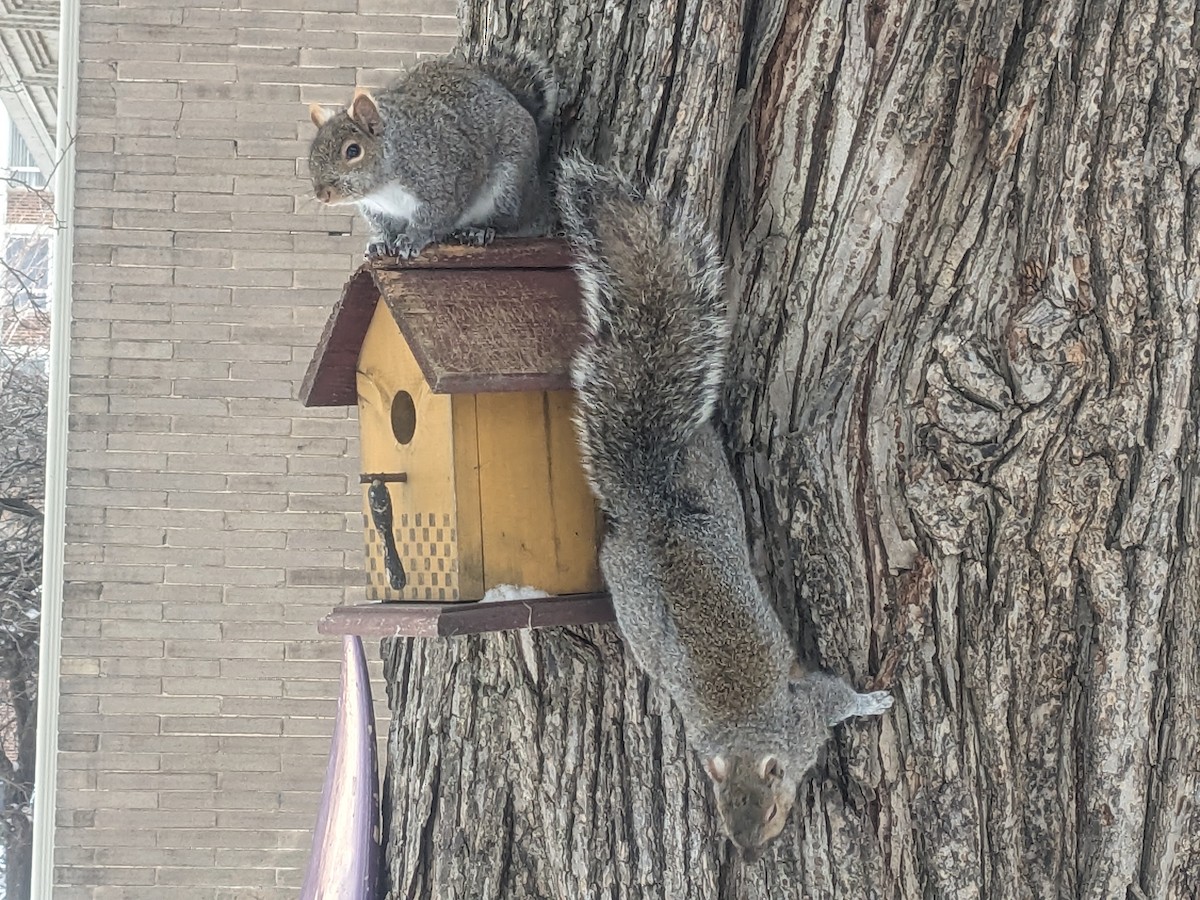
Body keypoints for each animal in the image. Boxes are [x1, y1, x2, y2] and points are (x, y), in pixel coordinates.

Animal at [307, 47, 557, 259]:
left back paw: (480, 230)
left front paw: (412, 240)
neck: (383, 189)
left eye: (353, 150)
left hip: (509, 186)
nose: (322, 195)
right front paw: (380, 242)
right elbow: (385, 228)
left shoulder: (446, 181)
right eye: (312, 153)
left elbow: (434, 219)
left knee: (512, 222)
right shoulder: (379, 211)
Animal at [555, 154, 894, 861]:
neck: (744, 740)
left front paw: (873, 701)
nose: (748, 854)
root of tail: (649, 496)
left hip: (706, 480)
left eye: (770, 810)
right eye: (722, 812)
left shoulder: (805, 713)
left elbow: (838, 697)